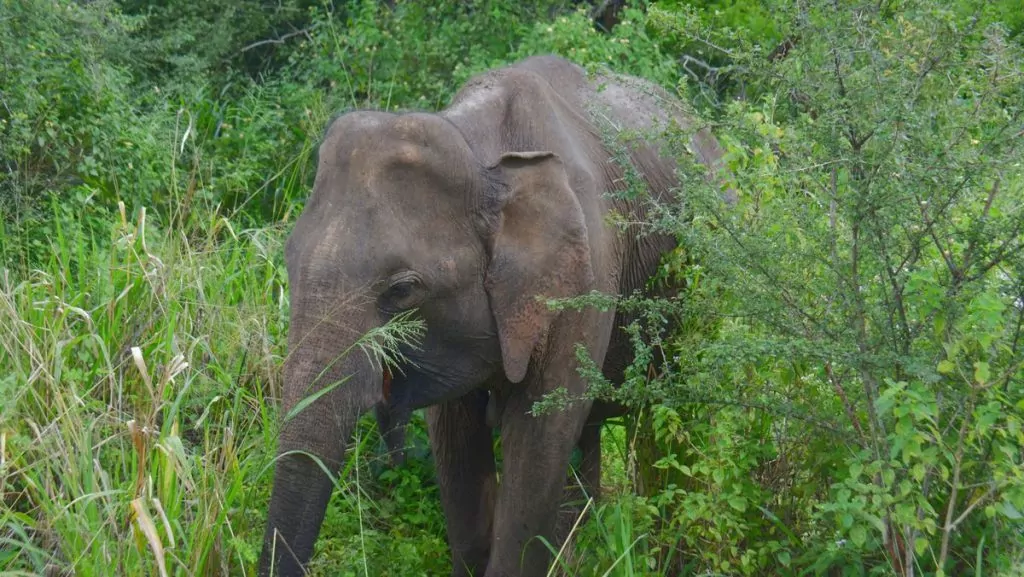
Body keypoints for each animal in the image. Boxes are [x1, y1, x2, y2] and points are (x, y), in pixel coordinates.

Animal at [260, 55, 733, 577]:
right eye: (288, 264)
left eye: (402, 290)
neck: (479, 151)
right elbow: (457, 443)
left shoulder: (583, 275)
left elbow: (538, 442)